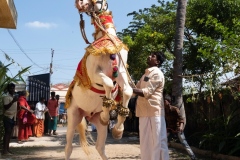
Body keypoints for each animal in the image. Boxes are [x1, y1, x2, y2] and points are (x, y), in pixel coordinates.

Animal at [64, 0, 133, 159]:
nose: (78, 4)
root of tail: (87, 116)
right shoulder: (95, 73)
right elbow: (108, 84)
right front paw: (107, 114)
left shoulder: (121, 71)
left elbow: (127, 91)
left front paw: (118, 129)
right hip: (73, 116)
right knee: (68, 148)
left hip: (97, 125)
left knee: (100, 147)